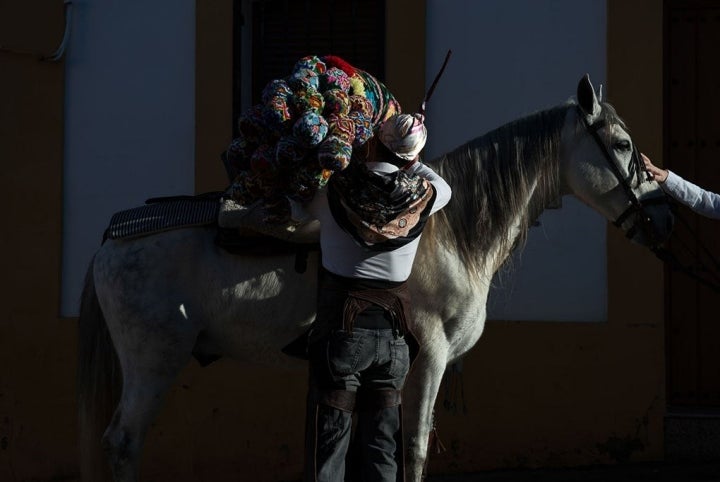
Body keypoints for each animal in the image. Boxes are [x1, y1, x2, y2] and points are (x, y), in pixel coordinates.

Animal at [76, 76, 672, 482]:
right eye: (621, 145)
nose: (663, 217)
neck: (449, 232)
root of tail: (112, 239)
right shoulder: (428, 358)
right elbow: (414, 448)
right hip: (154, 361)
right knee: (124, 442)